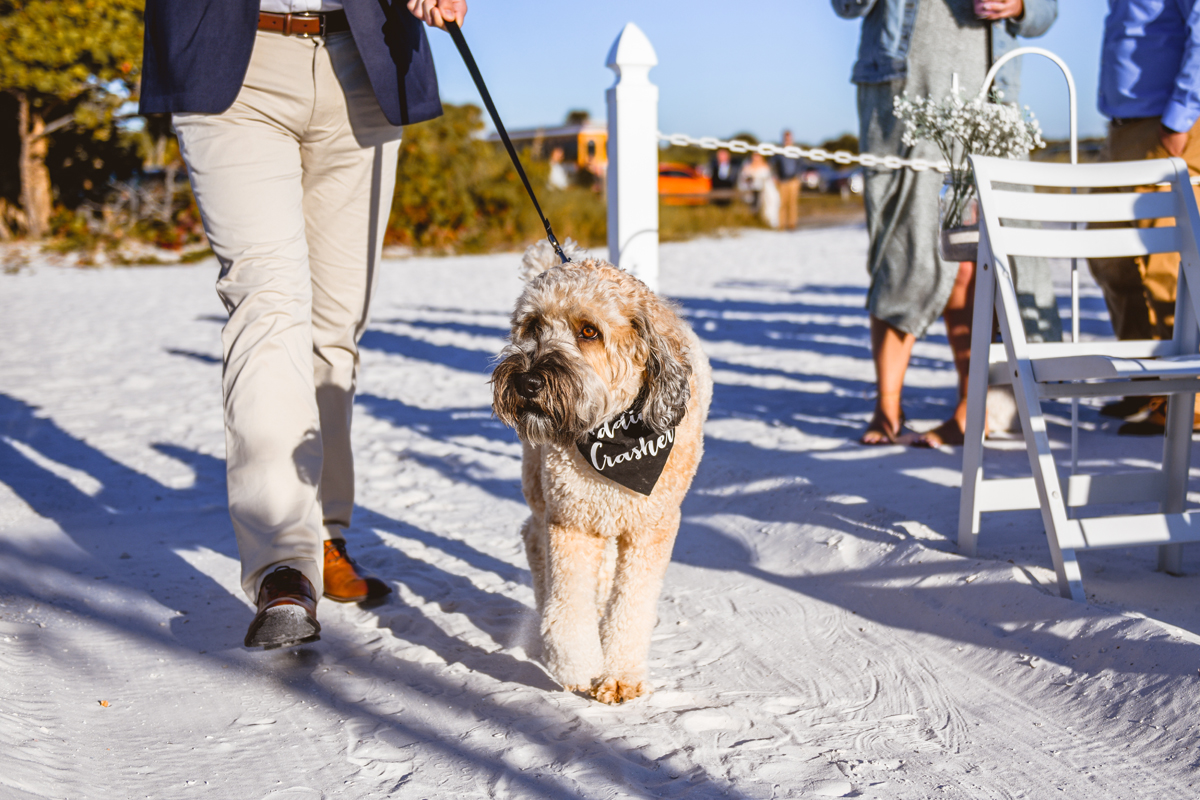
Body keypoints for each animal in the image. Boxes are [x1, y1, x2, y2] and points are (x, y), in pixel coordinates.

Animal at [489, 241, 710, 705]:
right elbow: (568, 605)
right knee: (534, 541)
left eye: (589, 331)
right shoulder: (571, 522)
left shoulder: (651, 528)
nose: (528, 382)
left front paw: (620, 674)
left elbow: (631, 606)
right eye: (532, 325)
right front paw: (578, 665)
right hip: (542, 489)